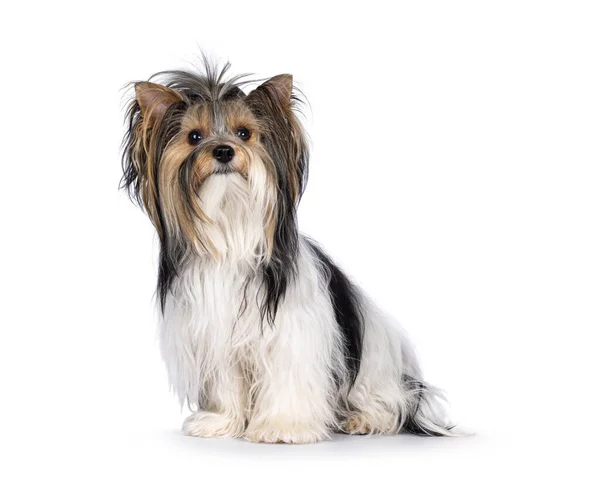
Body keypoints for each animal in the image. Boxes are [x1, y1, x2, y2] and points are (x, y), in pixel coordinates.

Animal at [122, 58, 454, 444]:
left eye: (244, 134)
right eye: (194, 137)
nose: (223, 151)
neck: (233, 231)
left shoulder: (293, 334)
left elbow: (288, 377)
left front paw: (283, 427)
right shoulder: (215, 333)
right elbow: (225, 382)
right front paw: (220, 421)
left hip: (376, 362)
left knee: (388, 402)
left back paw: (364, 420)